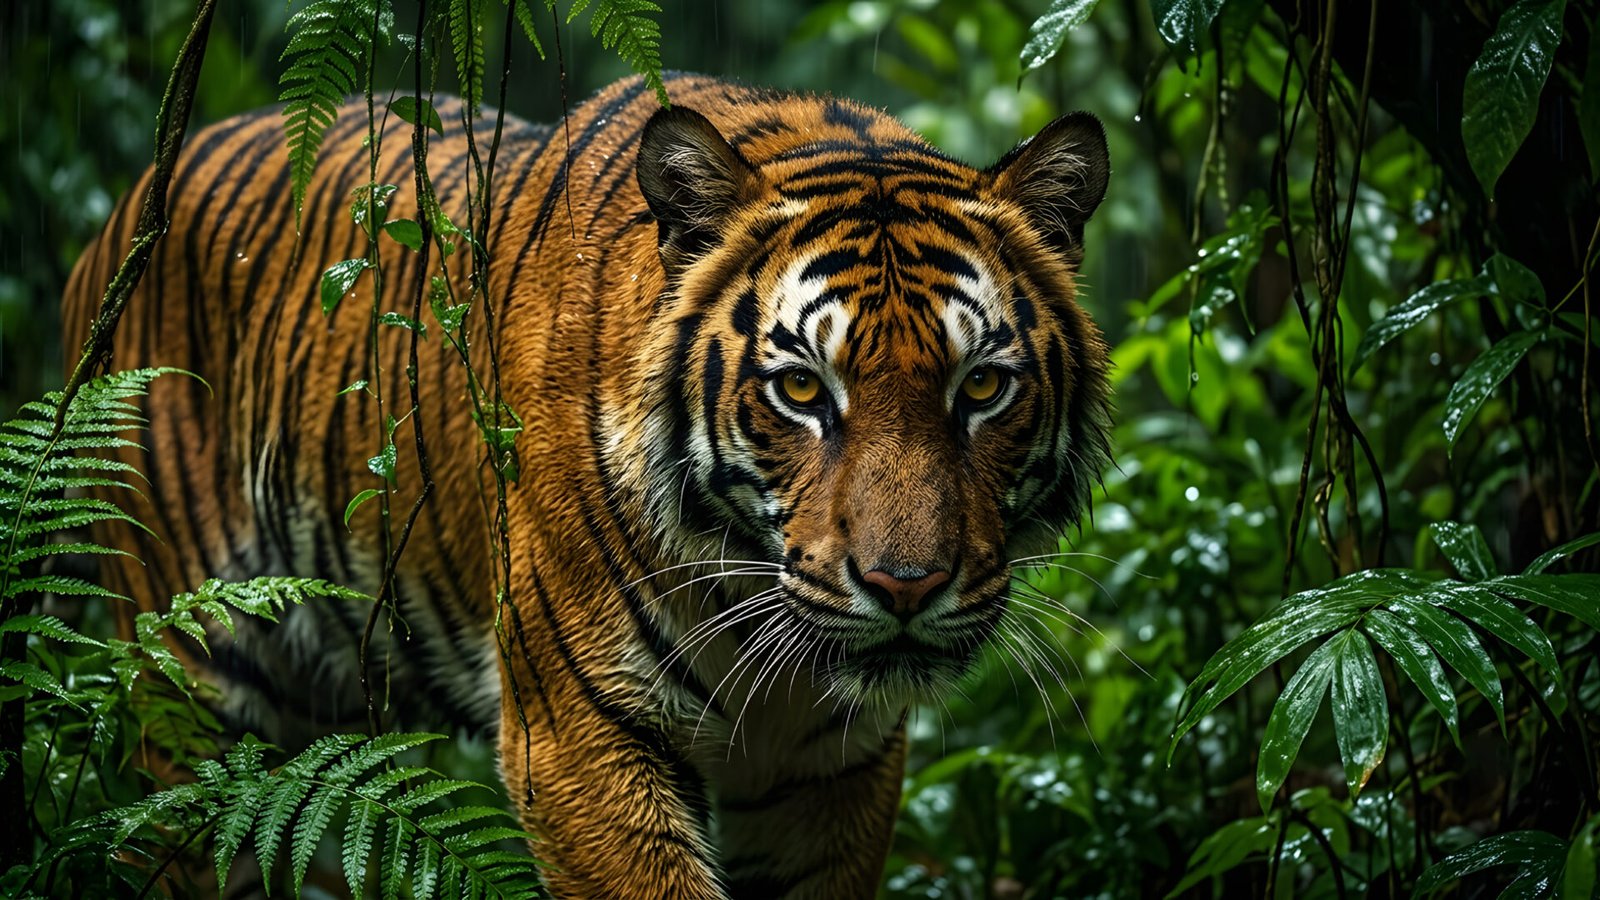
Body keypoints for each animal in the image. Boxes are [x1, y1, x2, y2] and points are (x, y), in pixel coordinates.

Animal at [63, 73, 1112, 898]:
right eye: (805, 390)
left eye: (983, 387)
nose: (906, 589)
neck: (752, 597)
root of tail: (129, 207)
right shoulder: (579, 736)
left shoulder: (831, 772)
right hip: (185, 702)